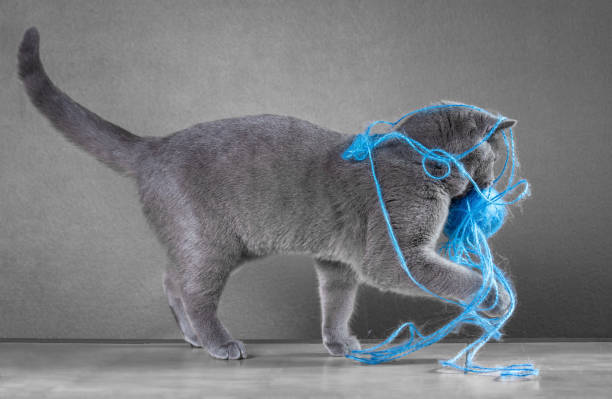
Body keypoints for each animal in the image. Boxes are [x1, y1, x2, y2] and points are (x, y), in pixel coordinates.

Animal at [17, 28, 516, 360]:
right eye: (493, 163)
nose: (491, 189)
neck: (418, 159)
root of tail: (154, 145)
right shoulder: (396, 254)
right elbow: (453, 277)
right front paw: (493, 298)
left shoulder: (338, 260)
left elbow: (337, 302)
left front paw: (338, 342)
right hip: (212, 242)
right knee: (194, 291)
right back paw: (219, 343)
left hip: (220, 245)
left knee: (171, 279)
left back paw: (194, 337)